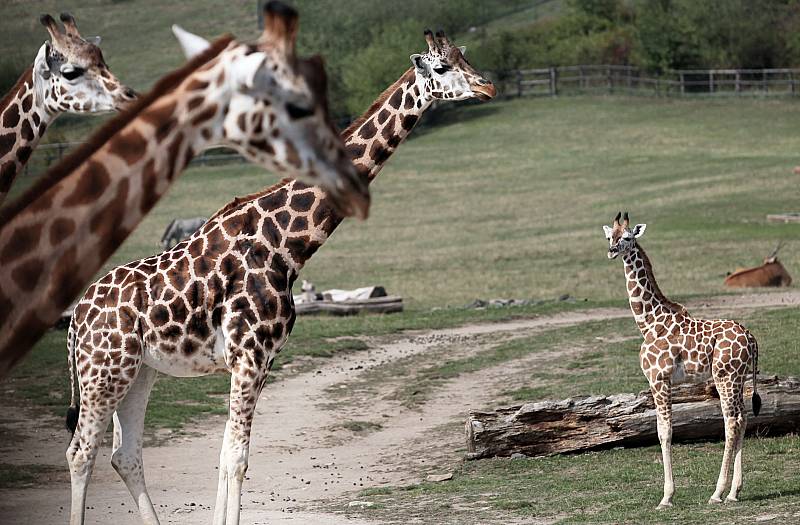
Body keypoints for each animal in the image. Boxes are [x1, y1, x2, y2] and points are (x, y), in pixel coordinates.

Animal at [67, 27, 494, 524]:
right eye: (442, 67)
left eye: (465, 57)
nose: (487, 86)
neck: (289, 246)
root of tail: (76, 320)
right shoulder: (249, 354)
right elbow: (236, 457)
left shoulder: (259, 360)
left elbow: (228, 456)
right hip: (102, 371)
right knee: (81, 451)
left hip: (137, 373)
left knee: (124, 454)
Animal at [604, 212, 760, 508]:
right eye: (609, 236)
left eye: (628, 237)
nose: (612, 251)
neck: (649, 323)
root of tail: (751, 338)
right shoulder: (659, 382)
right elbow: (662, 430)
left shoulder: (659, 379)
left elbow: (664, 432)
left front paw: (666, 497)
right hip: (738, 377)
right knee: (744, 418)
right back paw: (734, 492)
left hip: (725, 376)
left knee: (731, 421)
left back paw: (717, 493)